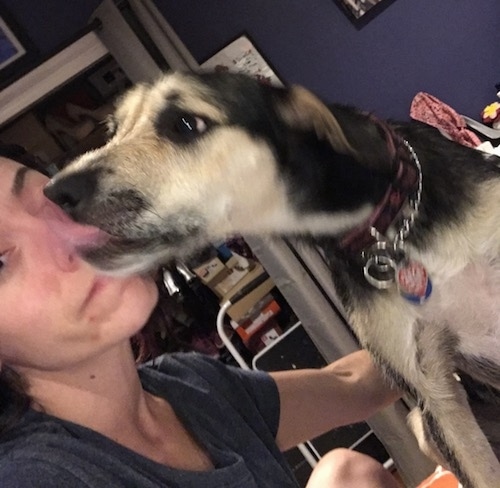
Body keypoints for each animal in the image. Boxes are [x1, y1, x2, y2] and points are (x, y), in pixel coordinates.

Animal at [44, 70, 500, 486]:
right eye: (114, 130)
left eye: (186, 123)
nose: (55, 194)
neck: (391, 229)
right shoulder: (433, 392)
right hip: (421, 424)